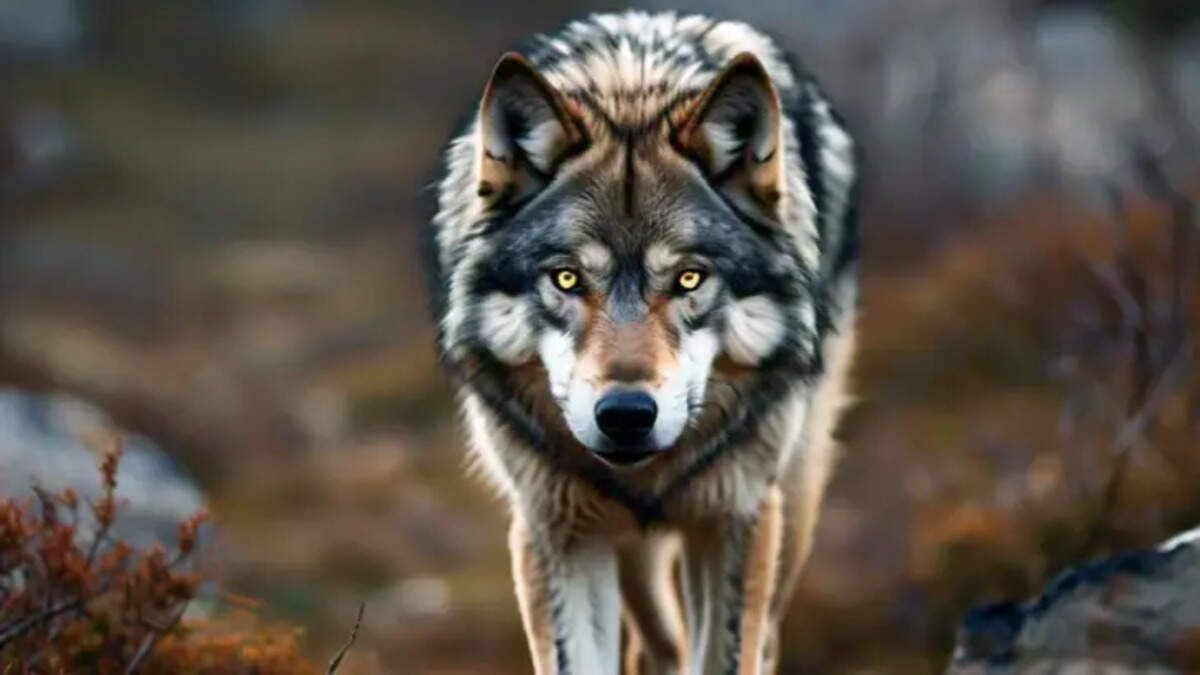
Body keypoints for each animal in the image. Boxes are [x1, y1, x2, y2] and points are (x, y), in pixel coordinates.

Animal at [427, 10, 858, 674]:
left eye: (688, 279)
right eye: (567, 279)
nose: (626, 414)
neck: (629, 91)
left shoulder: (736, 521)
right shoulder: (557, 531)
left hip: (793, 506)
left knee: (757, 638)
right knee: (663, 643)